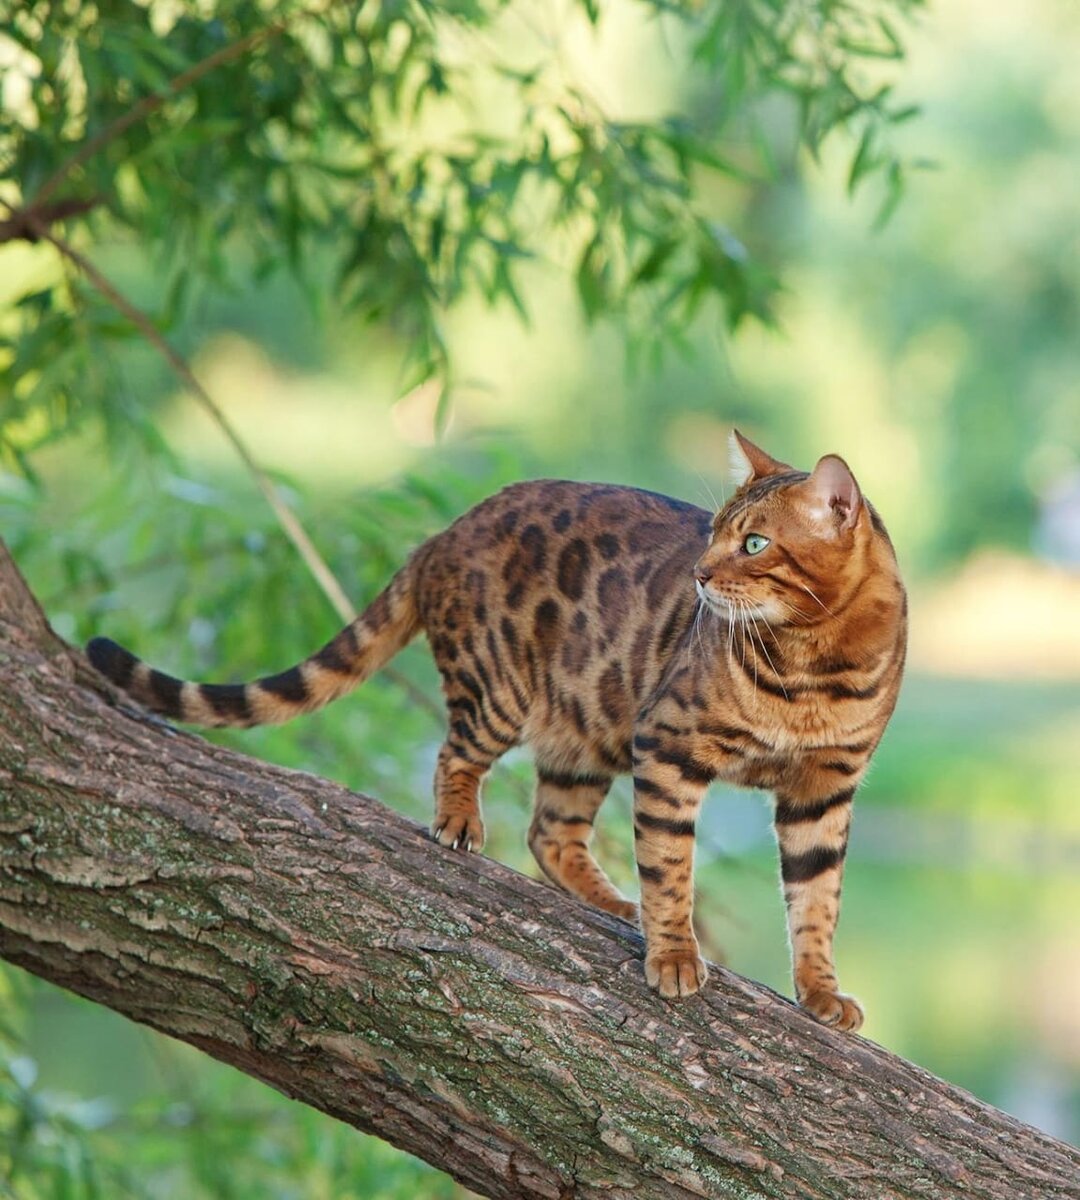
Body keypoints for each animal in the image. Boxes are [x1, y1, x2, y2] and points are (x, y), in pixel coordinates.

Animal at [88, 432, 907, 1032]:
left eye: (756, 544)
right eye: (713, 532)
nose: (701, 577)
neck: (816, 666)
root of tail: (442, 533)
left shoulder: (824, 791)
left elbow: (817, 901)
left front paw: (820, 991)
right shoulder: (671, 744)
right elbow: (672, 865)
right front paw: (675, 953)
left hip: (588, 726)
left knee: (551, 831)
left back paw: (612, 902)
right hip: (504, 689)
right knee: (458, 755)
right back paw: (461, 823)